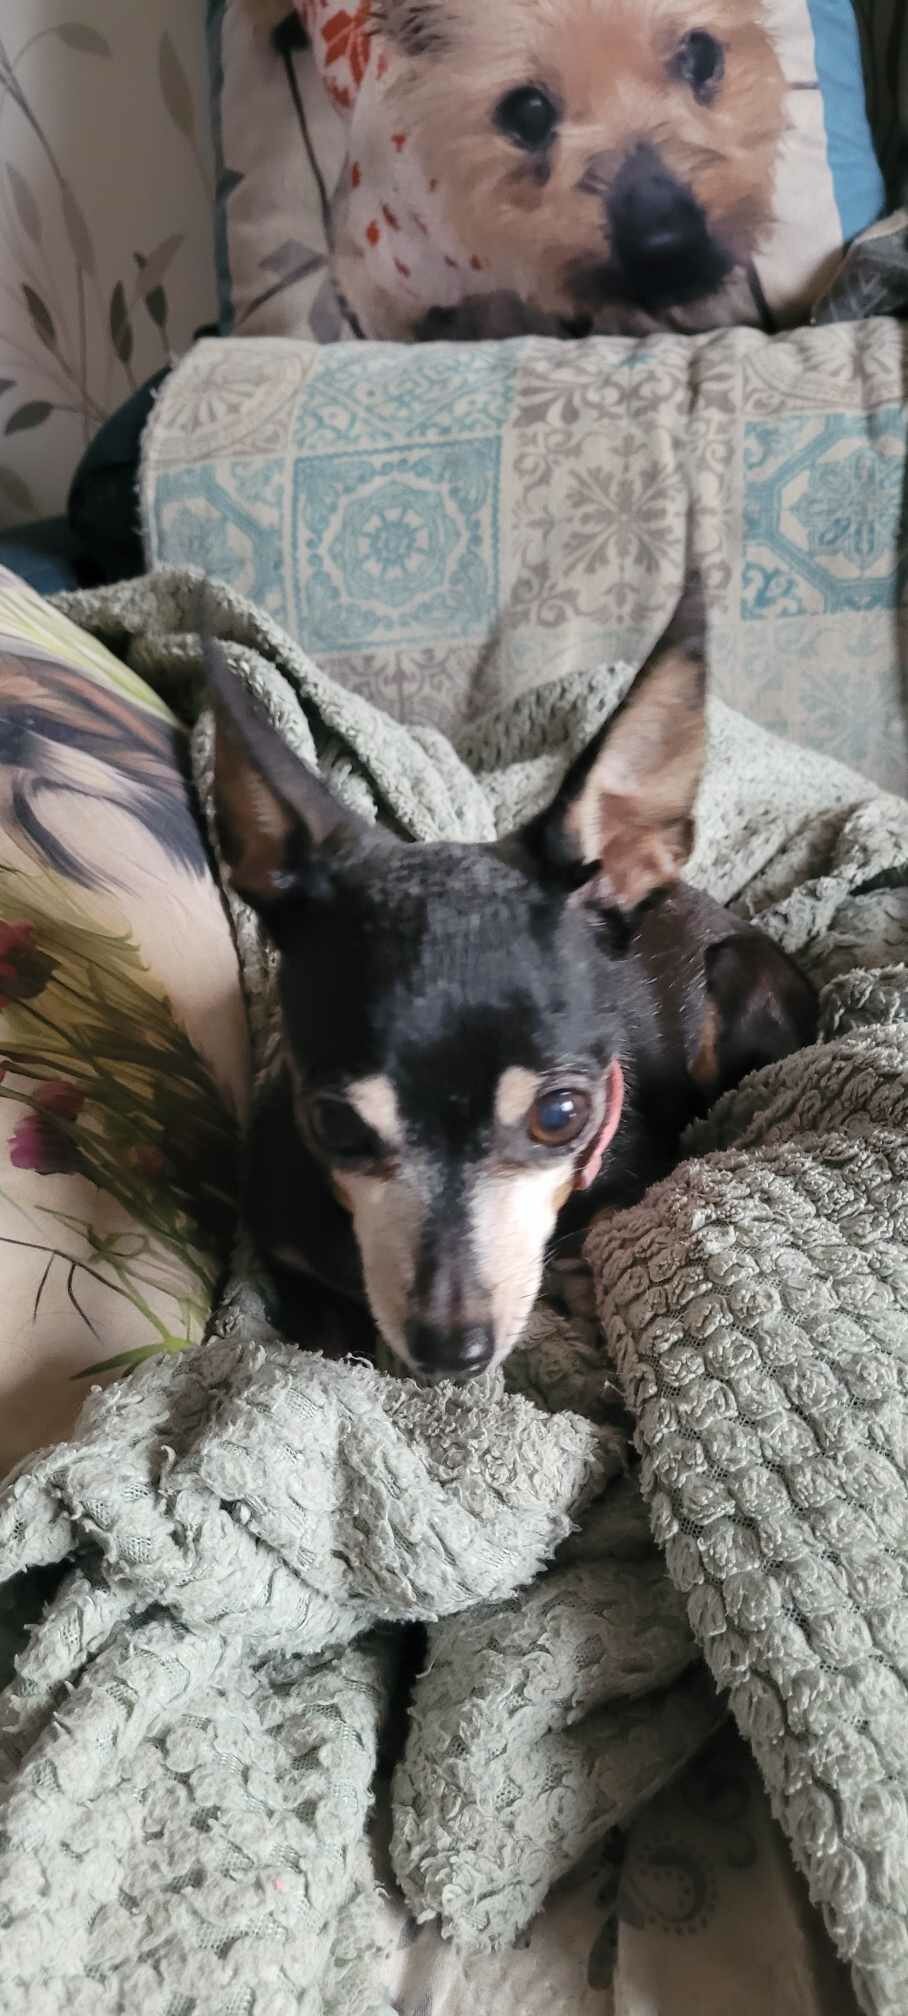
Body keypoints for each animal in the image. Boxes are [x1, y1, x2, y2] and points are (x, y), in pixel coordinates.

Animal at [207, 578, 817, 1381]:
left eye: (560, 1115)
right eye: (333, 1124)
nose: (450, 1350)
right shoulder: (284, 1244)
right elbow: (323, 1328)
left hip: (735, 972)